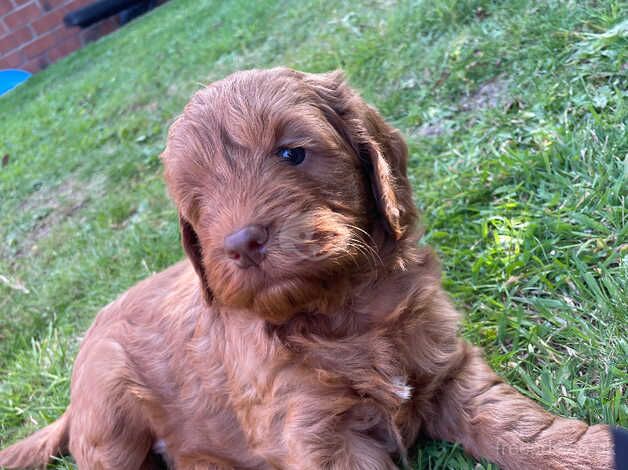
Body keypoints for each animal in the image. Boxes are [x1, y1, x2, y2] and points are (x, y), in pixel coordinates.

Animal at [0, 68, 612, 468]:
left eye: (291, 152)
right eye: (198, 202)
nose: (241, 242)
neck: (343, 311)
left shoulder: (448, 368)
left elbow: (516, 425)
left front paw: (593, 450)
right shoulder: (319, 435)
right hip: (110, 407)